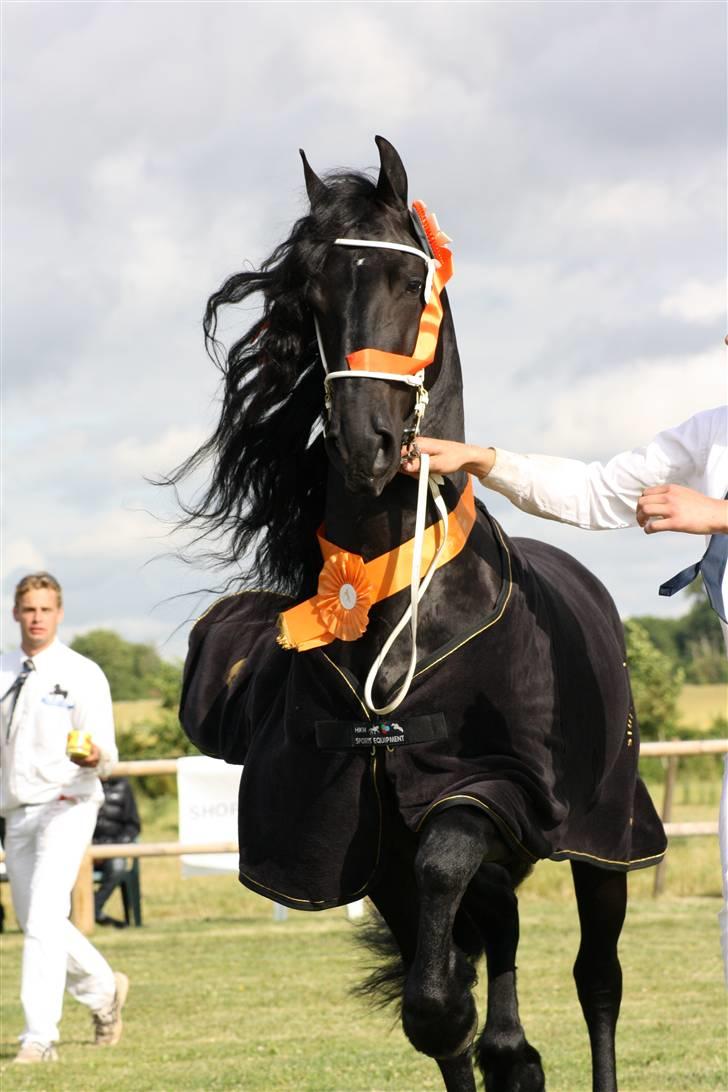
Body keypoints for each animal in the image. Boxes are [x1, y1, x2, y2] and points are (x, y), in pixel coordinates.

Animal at [178, 136, 667, 1092]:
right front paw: (481, 1038)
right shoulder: (369, 842)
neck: (410, 607)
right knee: (505, 946)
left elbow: (448, 928)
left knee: (599, 982)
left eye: (412, 282)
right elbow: (442, 1019)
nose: (365, 441)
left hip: (608, 843)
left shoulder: (483, 793)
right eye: (311, 292)